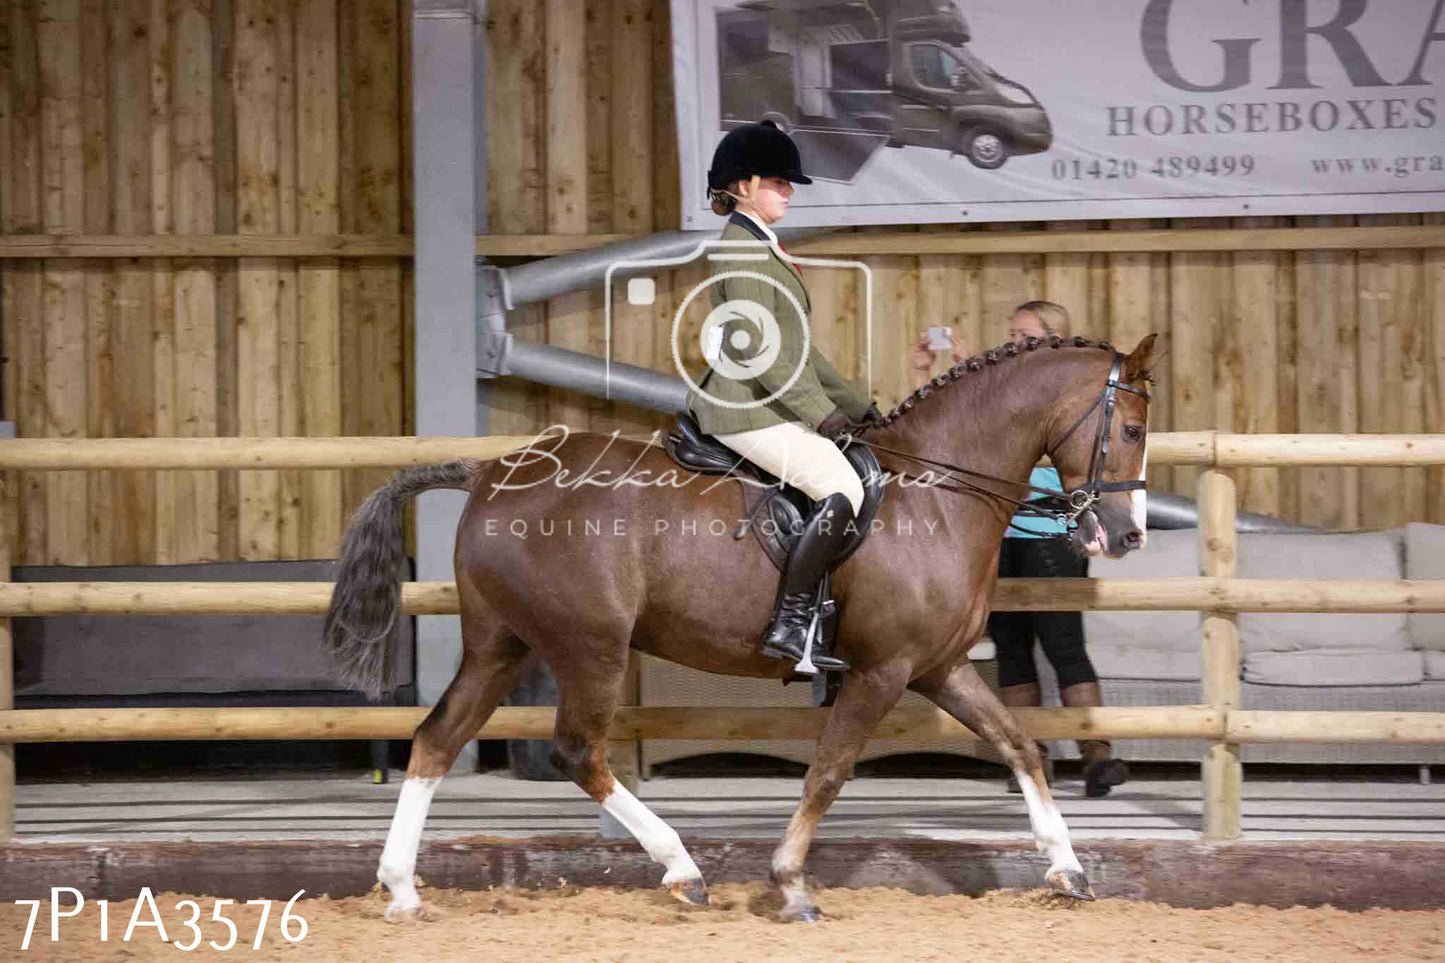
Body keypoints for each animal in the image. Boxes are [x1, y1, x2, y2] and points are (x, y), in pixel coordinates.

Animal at [322, 334, 1156, 919]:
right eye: (1131, 428)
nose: (1126, 536)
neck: (938, 489)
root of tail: (494, 470)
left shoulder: (938, 666)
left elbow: (1020, 745)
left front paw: (1067, 867)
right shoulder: (882, 671)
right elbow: (828, 771)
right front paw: (789, 885)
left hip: (501, 644)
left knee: (437, 737)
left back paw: (402, 889)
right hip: (590, 647)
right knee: (577, 751)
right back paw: (682, 870)